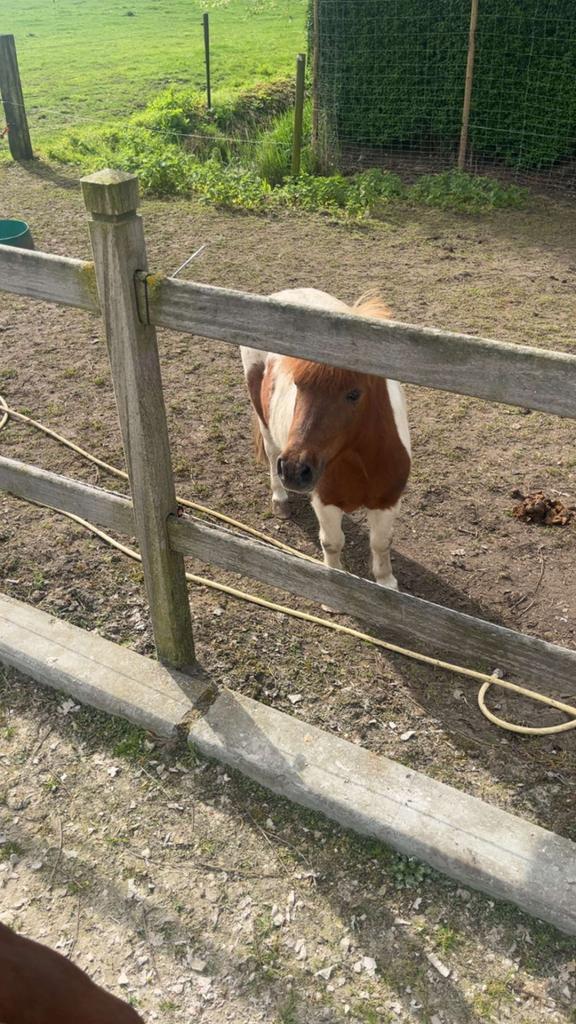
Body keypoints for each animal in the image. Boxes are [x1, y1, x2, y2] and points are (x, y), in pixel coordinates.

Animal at [240, 288, 411, 589]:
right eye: (298, 385)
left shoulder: (387, 500)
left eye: (354, 394)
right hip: (265, 424)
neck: (360, 462)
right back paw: (280, 500)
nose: (295, 470)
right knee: (271, 455)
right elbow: (332, 543)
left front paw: (386, 583)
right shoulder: (325, 501)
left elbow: (381, 543)